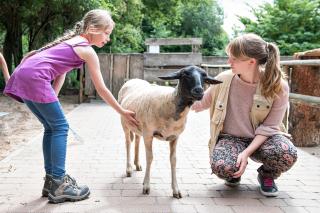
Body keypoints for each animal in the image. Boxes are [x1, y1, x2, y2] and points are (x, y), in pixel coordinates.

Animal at [118, 65, 222, 198]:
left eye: (204, 76)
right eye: (185, 74)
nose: (199, 91)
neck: (169, 102)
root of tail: (133, 79)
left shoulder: (174, 137)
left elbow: (173, 160)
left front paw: (176, 190)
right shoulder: (149, 134)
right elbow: (150, 158)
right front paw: (146, 186)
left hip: (138, 126)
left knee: (136, 140)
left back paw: (137, 164)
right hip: (125, 123)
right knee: (128, 143)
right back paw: (129, 169)